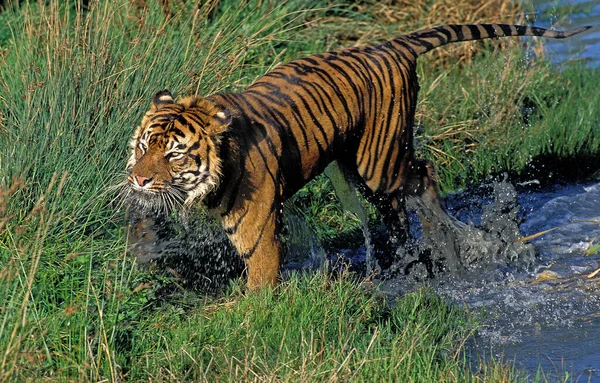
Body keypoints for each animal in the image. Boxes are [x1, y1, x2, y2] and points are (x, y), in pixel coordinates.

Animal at [126, 23, 592, 292]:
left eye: (176, 155)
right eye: (145, 147)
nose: (140, 180)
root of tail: (388, 46)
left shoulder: (256, 229)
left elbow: (259, 280)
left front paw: (250, 315)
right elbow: (146, 217)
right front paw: (141, 249)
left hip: (378, 162)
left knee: (423, 175)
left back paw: (440, 245)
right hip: (357, 163)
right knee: (401, 202)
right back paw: (414, 251)